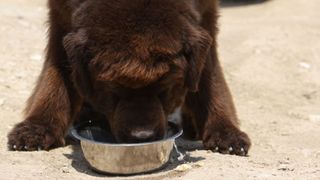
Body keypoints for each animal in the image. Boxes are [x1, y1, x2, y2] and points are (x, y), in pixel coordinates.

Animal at [7, 0, 250, 155]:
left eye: (165, 90)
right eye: (113, 92)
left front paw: (225, 132)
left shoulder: (206, 17)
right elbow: (56, 79)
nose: (142, 136)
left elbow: (210, 80)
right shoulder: (60, 18)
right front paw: (36, 128)